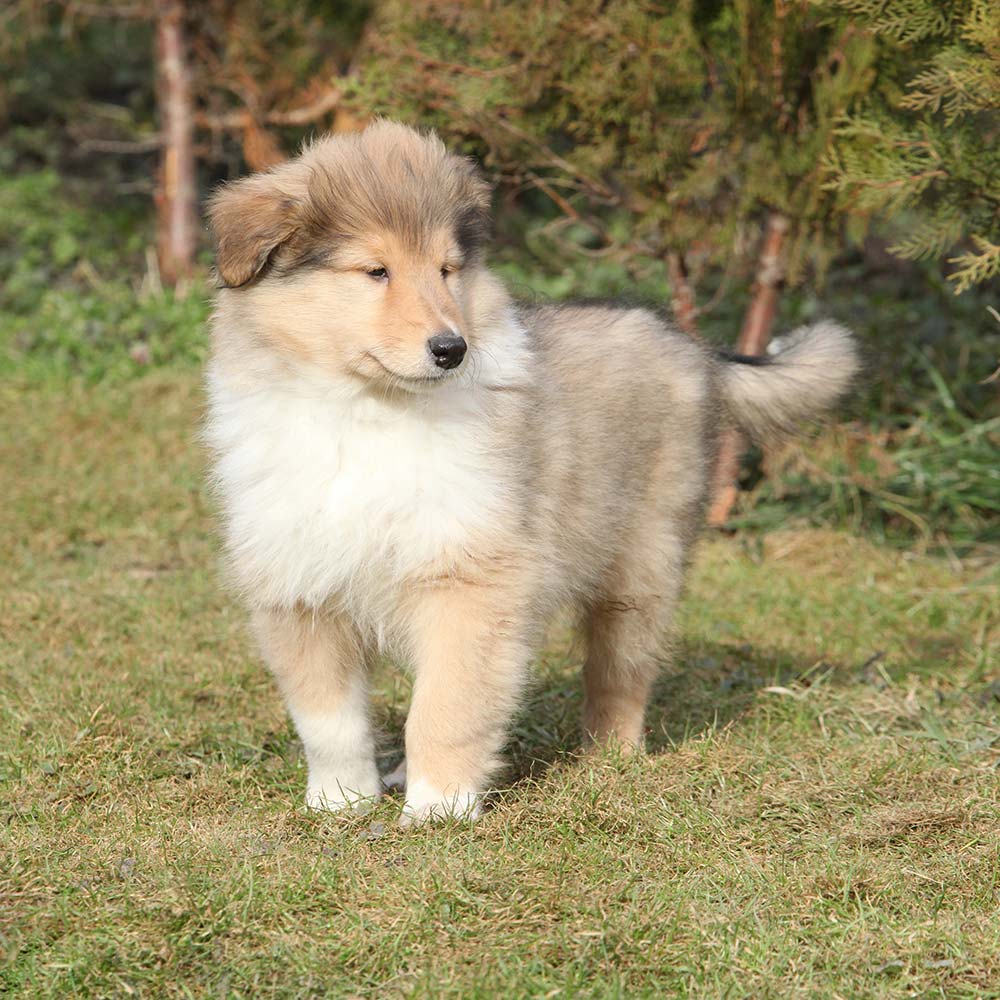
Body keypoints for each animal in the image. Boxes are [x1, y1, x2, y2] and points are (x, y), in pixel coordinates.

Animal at [205, 121, 860, 824]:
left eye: (447, 270)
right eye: (375, 270)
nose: (452, 349)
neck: (367, 412)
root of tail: (692, 344)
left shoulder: (473, 578)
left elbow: (447, 704)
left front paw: (437, 809)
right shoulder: (298, 585)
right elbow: (329, 720)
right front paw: (339, 803)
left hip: (643, 564)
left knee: (619, 675)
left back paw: (608, 763)